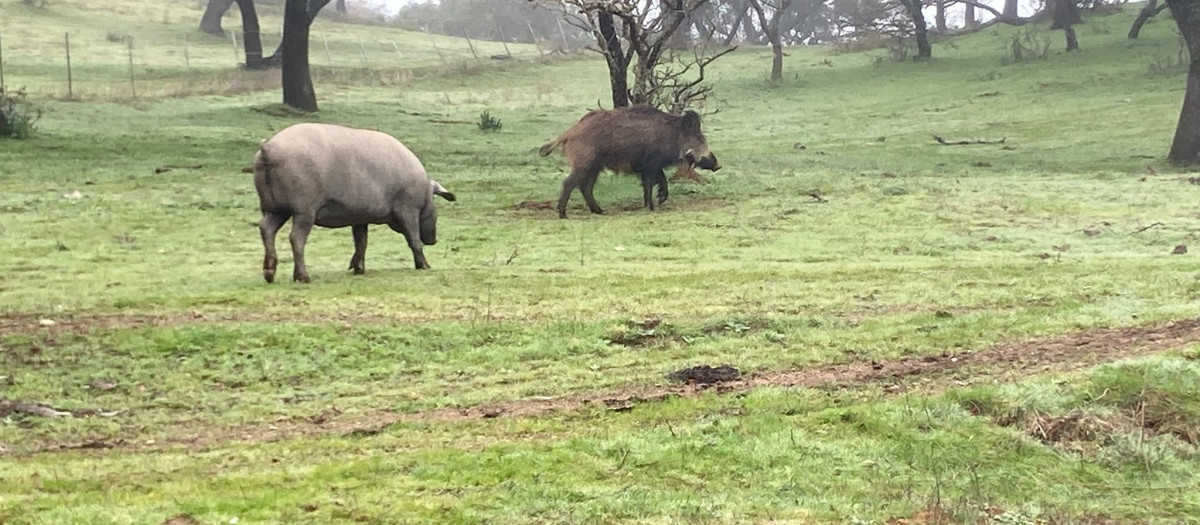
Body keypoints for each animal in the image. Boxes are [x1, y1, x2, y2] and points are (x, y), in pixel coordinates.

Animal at [252, 123, 456, 283]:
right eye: (435, 205)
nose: (434, 240)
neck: (423, 190)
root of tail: (268, 148)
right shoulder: (408, 209)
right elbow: (413, 239)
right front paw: (426, 267)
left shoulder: (360, 217)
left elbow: (361, 242)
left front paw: (358, 270)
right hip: (304, 210)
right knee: (296, 237)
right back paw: (303, 277)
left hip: (274, 209)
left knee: (266, 228)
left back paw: (269, 275)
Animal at [538, 105, 720, 219]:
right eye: (698, 138)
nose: (718, 165)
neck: (672, 136)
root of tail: (569, 133)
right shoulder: (650, 164)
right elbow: (650, 184)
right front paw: (652, 207)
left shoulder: (651, 166)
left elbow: (660, 181)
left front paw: (656, 202)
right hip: (584, 161)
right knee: (569, 183)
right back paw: (563, 215)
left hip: (595, 166)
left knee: (585, 186)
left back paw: (600, 211)